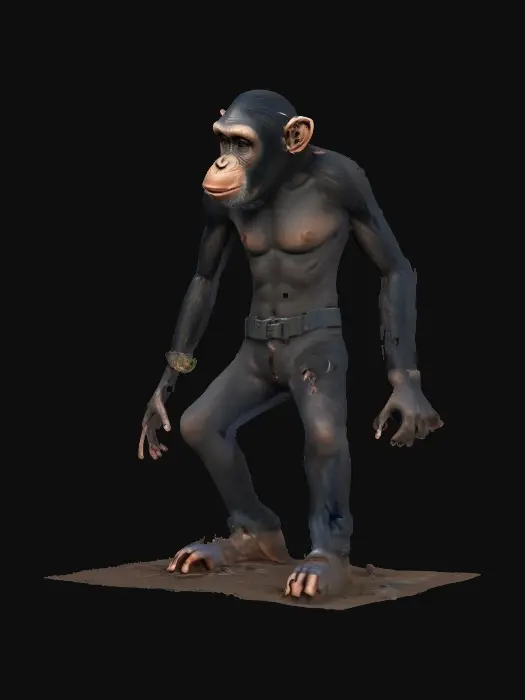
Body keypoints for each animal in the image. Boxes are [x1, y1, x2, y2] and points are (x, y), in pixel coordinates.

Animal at [138, 90, 443, 601]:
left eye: (242, 143)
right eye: (222, 140)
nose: (220, 162)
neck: (284, 178)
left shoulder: (349, 180)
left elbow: (392, 267)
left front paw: (406, 395)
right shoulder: (214, 207)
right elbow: (205, 277)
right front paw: (160, 397)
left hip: (311, 363)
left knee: (324, 438)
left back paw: (324, 566)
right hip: (255, 368)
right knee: (204, 427)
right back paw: (253, 542)